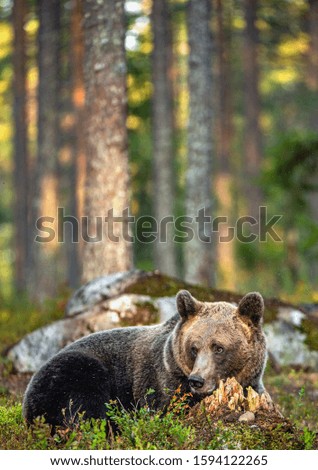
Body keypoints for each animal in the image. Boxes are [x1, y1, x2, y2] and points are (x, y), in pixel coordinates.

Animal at [22, 288, 268, 428]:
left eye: (218, 347)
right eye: (194, 348)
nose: (197, 380)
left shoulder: (252, 383)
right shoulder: (159, 381)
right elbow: (163, 407)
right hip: (74, 371)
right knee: (83, 406)